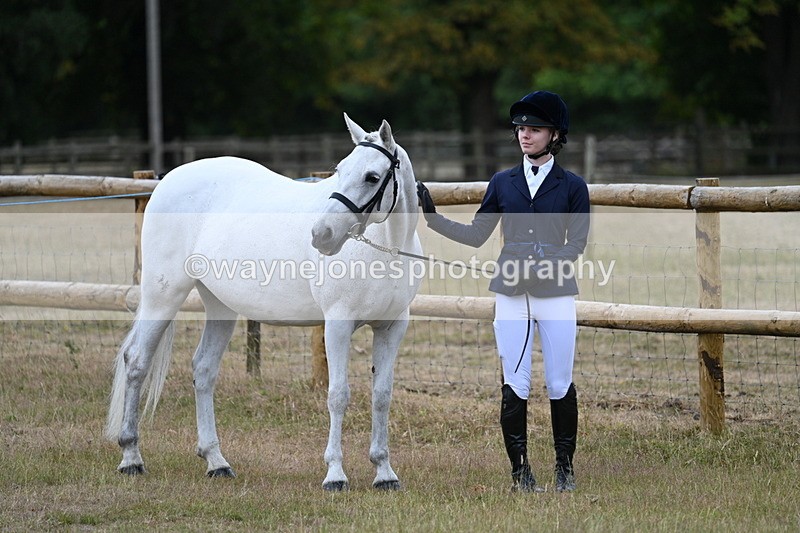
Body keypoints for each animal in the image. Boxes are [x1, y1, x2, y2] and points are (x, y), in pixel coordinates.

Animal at [104, 114, 423, 491]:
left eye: (372, 176)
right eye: (340, 169)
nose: (321, 235)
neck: (385, 248)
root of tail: (168, 181)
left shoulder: (392, 327)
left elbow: (382, 396)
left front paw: (384, 472)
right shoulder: (338, 324)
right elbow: (338, 395)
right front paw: (335, 474)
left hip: (220, 307)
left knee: (203, 370)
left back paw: (216, 462)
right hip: (162, 296)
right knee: (137, 361)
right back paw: (131, 457)